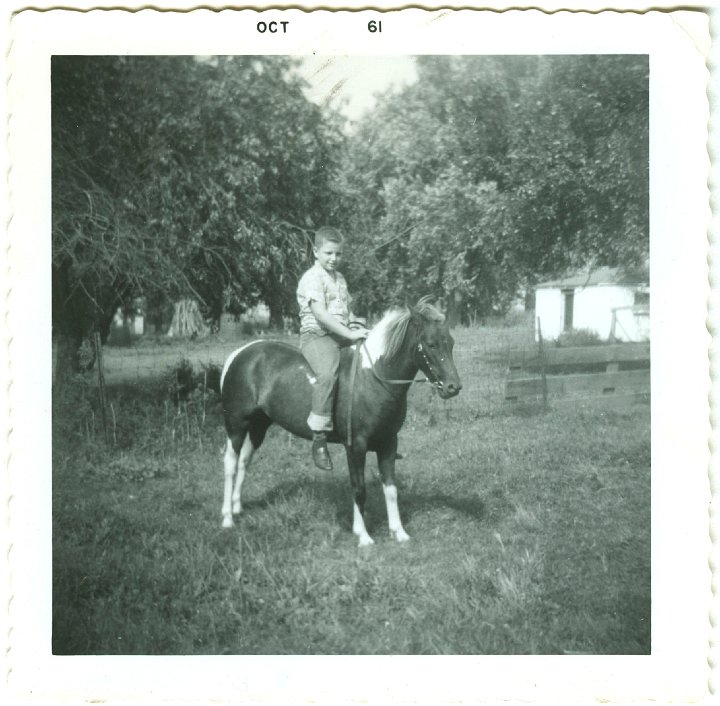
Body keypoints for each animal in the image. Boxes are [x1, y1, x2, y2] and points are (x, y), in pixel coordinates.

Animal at [218, 296, 462, 544]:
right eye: (431, 344)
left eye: (450, 343)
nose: (453, 387)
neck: (372, 378)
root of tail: (239, 354)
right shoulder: (356, 445)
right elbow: (359, 489)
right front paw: (363, 536)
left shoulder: (388, 443)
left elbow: (391, 489)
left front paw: (399, 532)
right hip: (236, 424)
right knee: (230, 463)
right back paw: (227, 518)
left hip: (259, 425)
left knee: (244, 460)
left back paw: (237, 507)